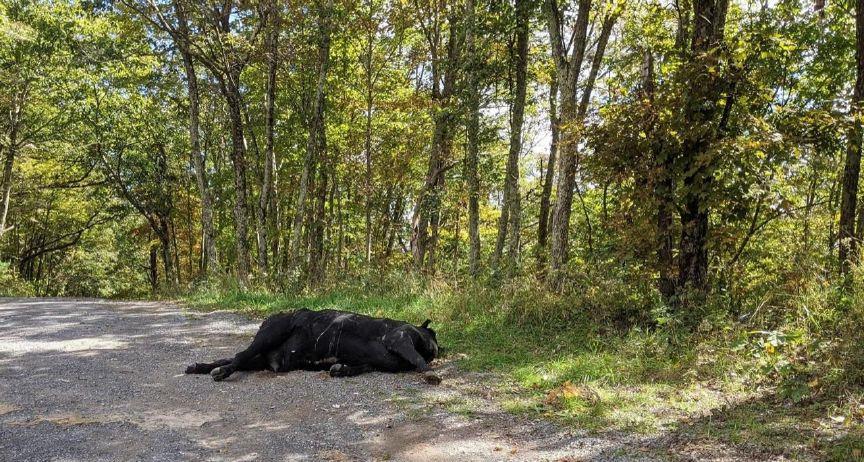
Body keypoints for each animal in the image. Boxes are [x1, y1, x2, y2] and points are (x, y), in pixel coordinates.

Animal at [185, 308, 441, 384]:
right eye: (434, 335)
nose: (438, 347)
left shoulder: (370, 362)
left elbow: (357, 367)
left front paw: (342, 369)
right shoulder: (399, 337)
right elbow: (418, 359)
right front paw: (430, 372)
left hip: (258, 358)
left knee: (231, 358)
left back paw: (199, 367)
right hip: (270, 334)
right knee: (237, 356)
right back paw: (219, 372)